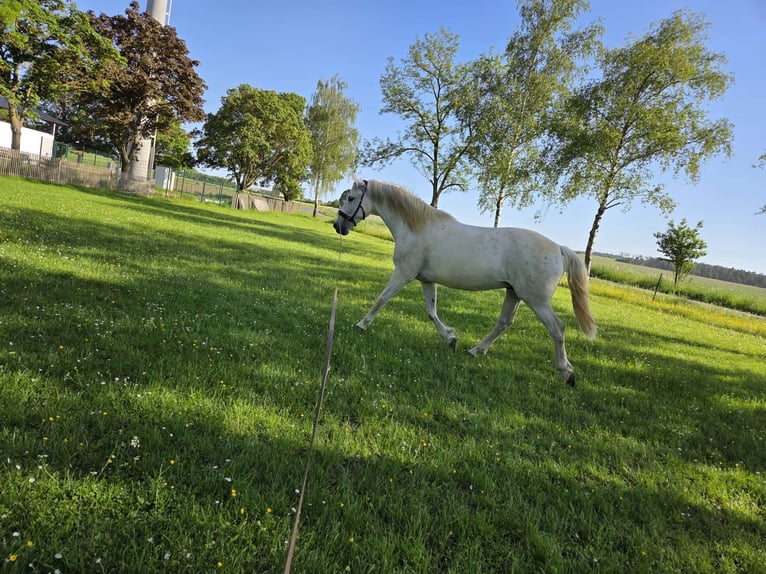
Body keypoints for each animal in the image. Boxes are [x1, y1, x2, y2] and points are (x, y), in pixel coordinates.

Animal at [333, 177, 597, 385]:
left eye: (351, 198)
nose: (338, 225)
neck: (416, 228)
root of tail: (560, 249)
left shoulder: (403, 273)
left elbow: (382, 299)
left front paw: (361, 324)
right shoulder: (426, 280)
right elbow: (431, 311)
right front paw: (450, 339)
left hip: (536, 301)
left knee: (557, 329)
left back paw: (567, 373)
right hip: (514, 293)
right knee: (504, 323)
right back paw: (476, 351)